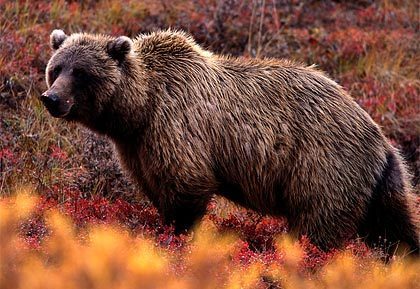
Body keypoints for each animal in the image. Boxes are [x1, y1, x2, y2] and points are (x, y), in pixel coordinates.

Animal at [41, 28, 418, 254]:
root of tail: (380, 136)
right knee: (394, 226)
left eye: (81, 73)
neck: (139, 108)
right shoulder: (138, 146)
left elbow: (186, 186)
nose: (51, 98)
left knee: (319, 223)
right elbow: (155, 186)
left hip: (324, 163)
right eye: (56, 68)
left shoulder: (176, 126)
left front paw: (179, 235)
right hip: (379, 180)